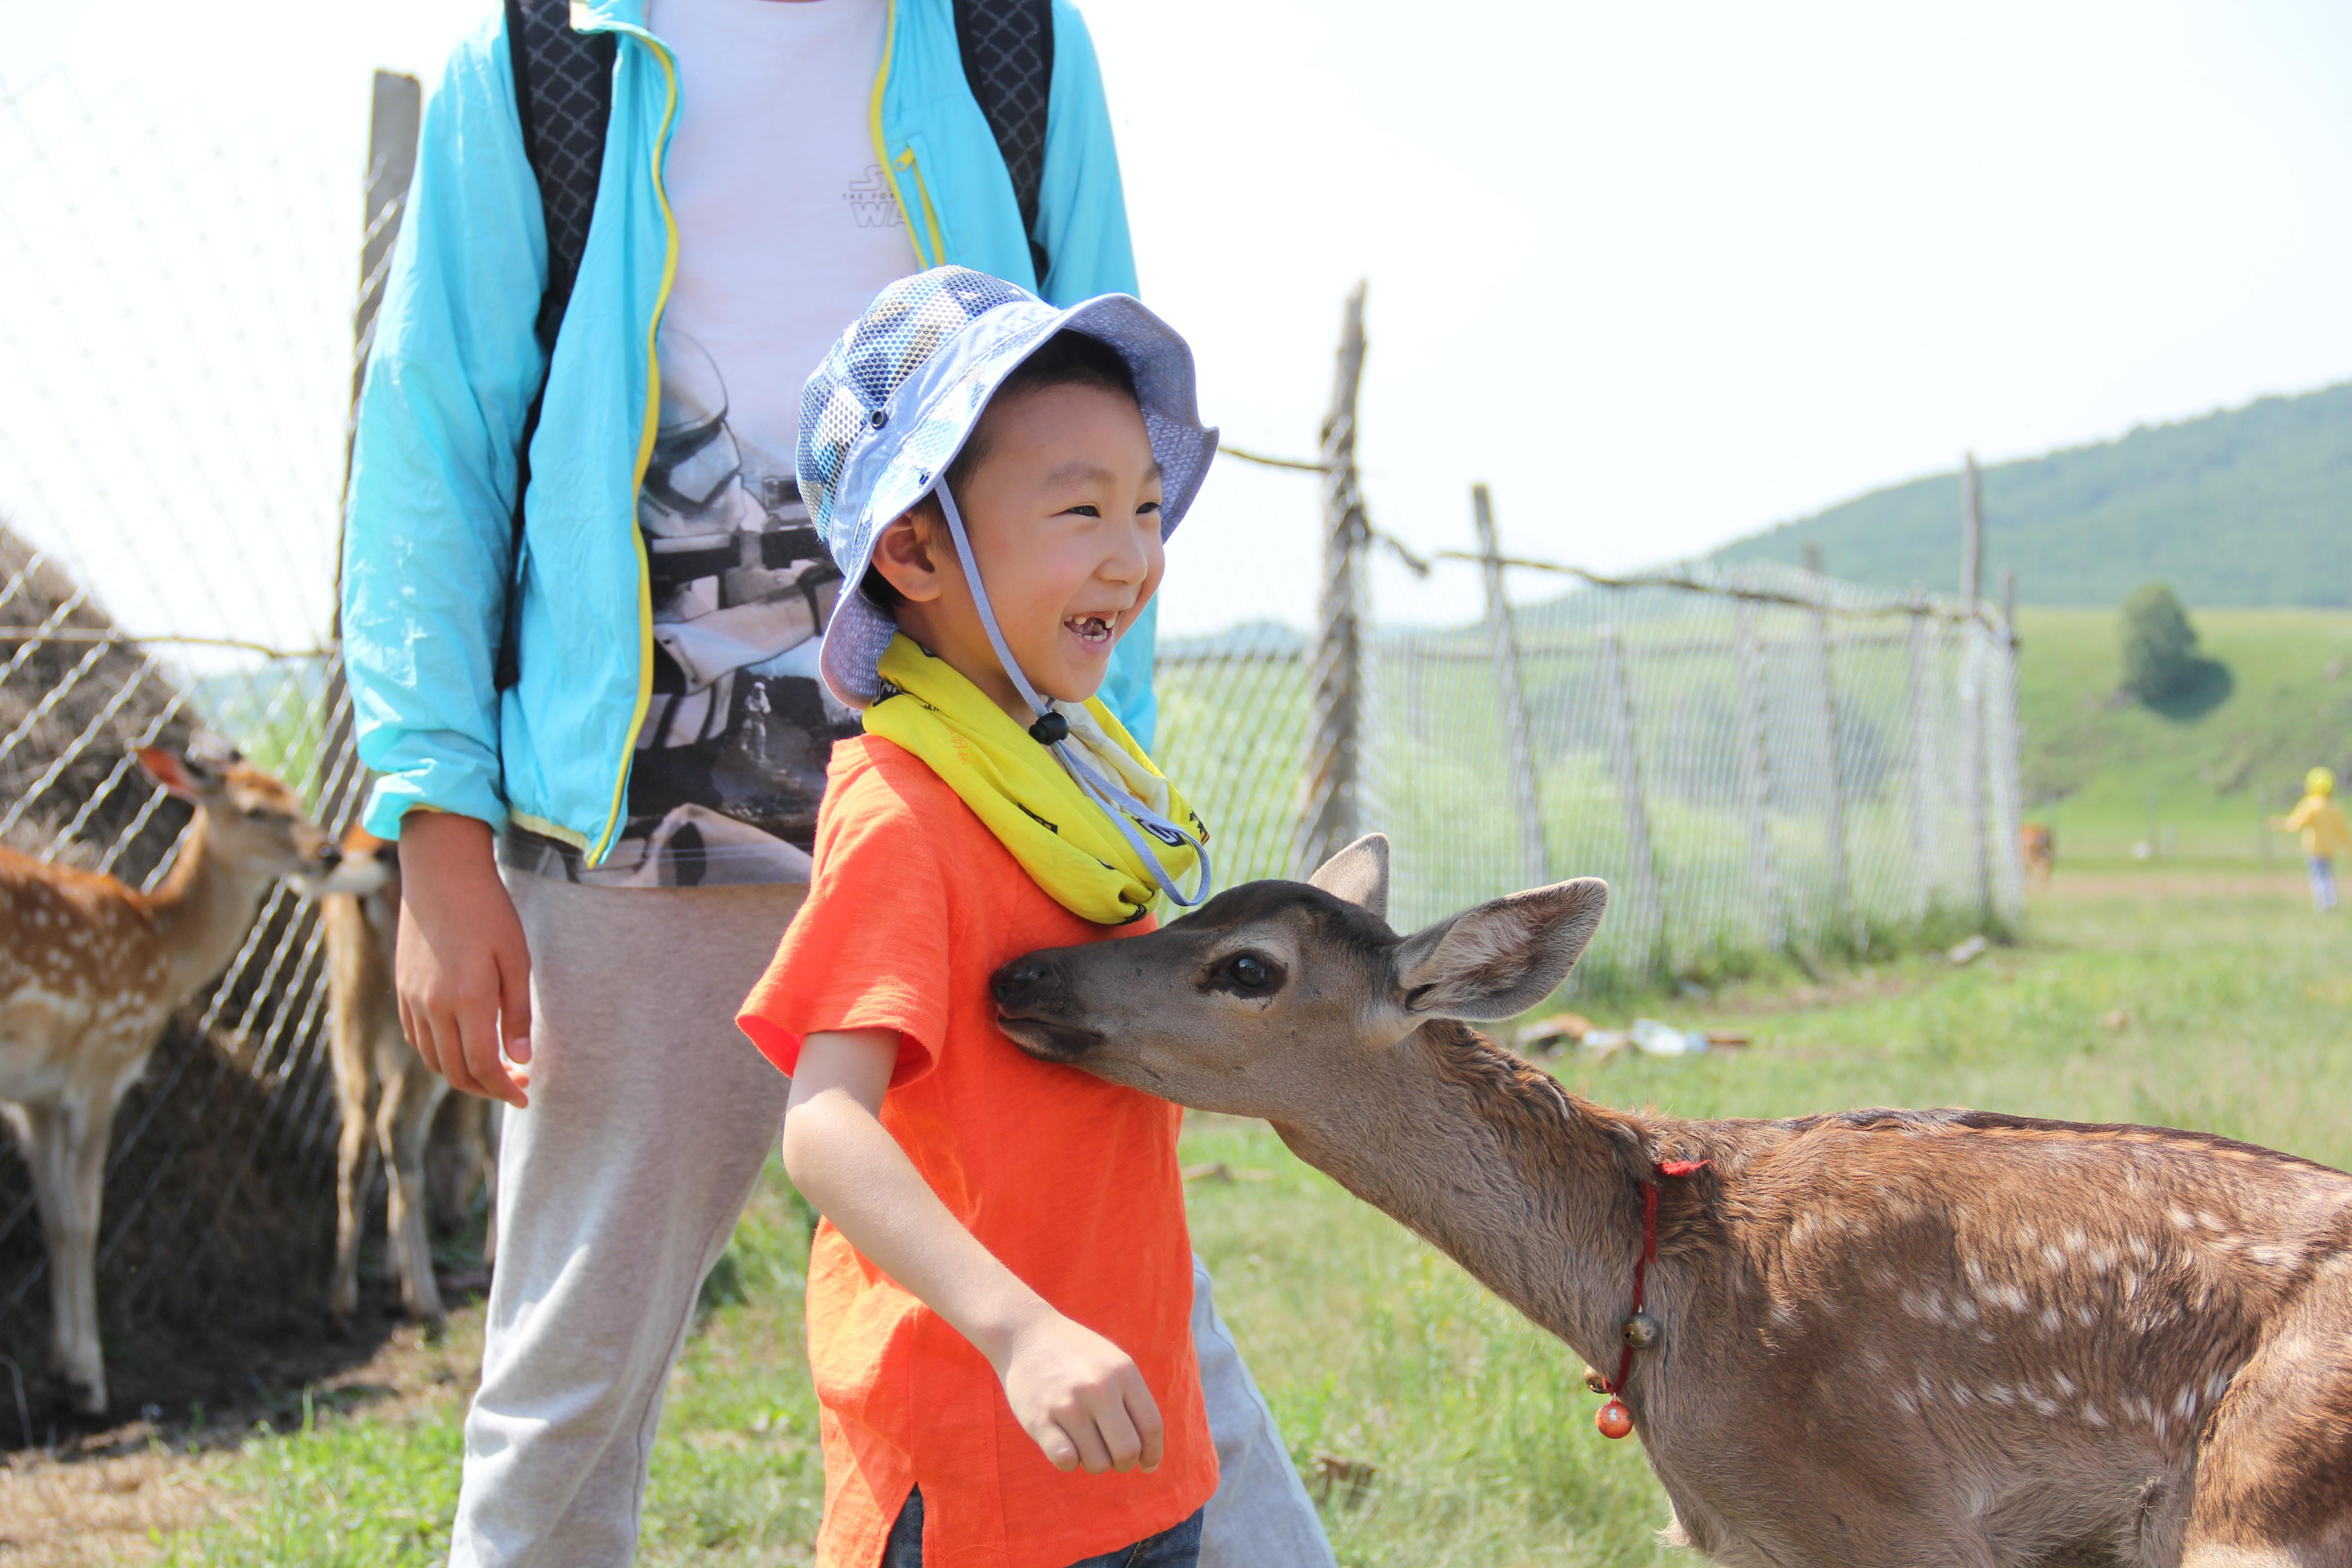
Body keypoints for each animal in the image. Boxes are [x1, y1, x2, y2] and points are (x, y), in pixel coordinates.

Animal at [0, 742, 380, 1415]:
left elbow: (52, 1216)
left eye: (294, 797)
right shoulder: (100, 1067)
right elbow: (82, 1220)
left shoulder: (36, 1097)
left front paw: (63, 1369)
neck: (163, 948)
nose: (328, 853)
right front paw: (89, 1383)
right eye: (255, 810)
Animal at [323, 827, 498, 1333]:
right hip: (428, 1013)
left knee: (359, 1133)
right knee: (396, 1124)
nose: (450, 1223)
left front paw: (390, 1276)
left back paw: (342, 1301)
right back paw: (425, 1301)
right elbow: (495, 1137)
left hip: (349, 1005)